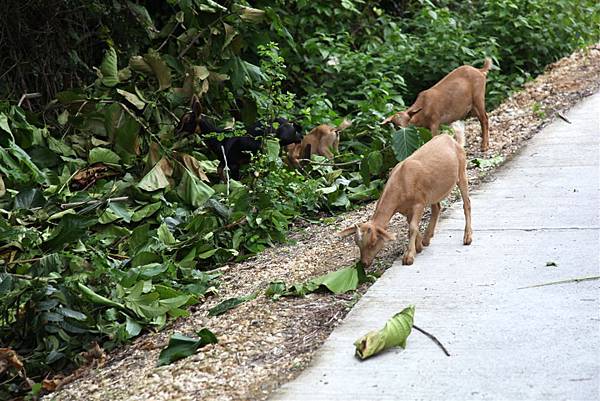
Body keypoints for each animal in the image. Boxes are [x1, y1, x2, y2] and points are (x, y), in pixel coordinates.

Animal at [340, 122, 472, 266]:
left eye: (373, 242)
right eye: (357, 243)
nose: (364, 263)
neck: (402, 181)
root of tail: (452, 140)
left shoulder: (419, 204)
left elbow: (413, 227)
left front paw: (409, 256)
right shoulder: (406, 209)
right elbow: (411, 225)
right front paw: (418, 246)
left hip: (462, 172)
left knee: (467, 204)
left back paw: (467, 237)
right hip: (433, 190)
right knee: (437, 208)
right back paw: (427, 238)